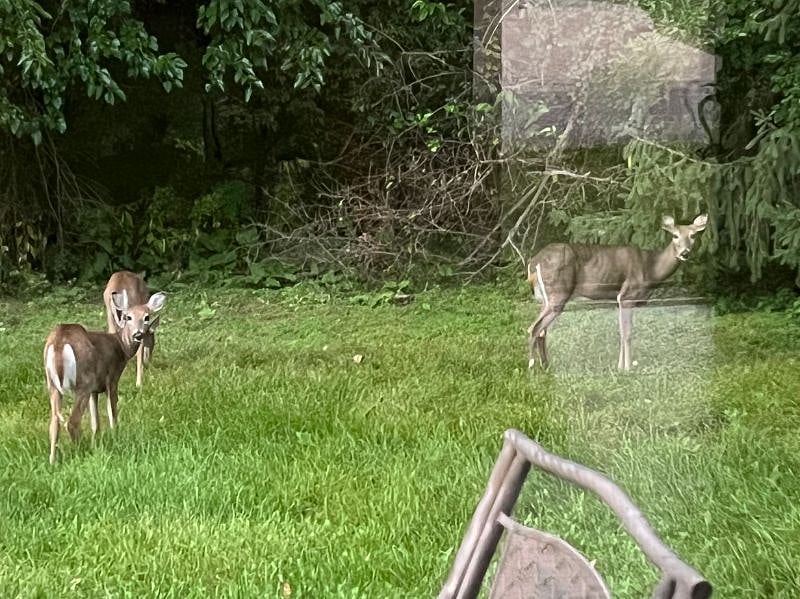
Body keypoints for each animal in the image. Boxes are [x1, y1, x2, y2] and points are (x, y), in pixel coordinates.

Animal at [44, 289, 166, 464]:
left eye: (146, 317)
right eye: (128, 317)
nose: (137, 334)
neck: (121, 346)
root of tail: (59, 343)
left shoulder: (95, 390)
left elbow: (95, 422)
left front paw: (97, 442)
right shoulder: (112, 378)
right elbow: (112, 411)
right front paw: (116, 437)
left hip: (53, 385)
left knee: (54, 422)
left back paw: (53, 461)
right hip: (83, 382)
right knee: (72, 422)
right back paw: (81, 452)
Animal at [527, 214, 707, 371]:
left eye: (693, 235)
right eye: (675, 236)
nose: (685, 253)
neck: (651, 269)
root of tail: (534, 261)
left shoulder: (619, 300)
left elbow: (621, 332)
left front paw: (619, 367)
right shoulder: (627, 295)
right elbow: (627, 333)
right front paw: (627, 369)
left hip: (544, 298)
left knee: (541, 331)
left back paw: (545, 366)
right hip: (558, 293)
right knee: (534, 328)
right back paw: (532, 367)